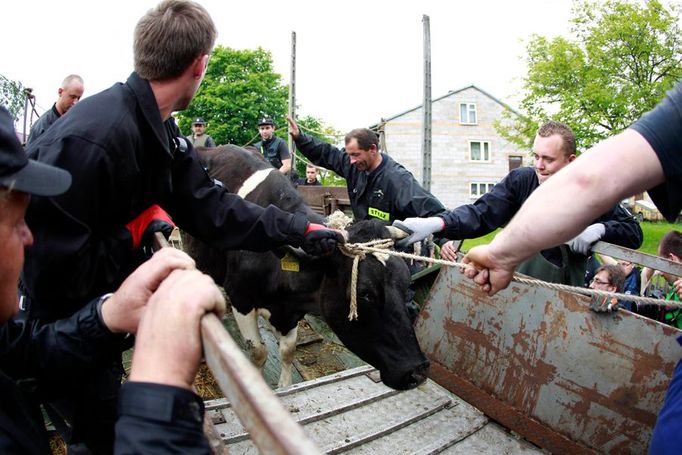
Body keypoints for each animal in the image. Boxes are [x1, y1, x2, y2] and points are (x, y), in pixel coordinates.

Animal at [183, 146, 428, 392]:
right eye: (364, 293)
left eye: (407, 284)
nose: (417, 372)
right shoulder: (241, 299)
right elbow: (258, 352)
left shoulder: (291, 312)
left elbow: (287, 350)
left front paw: (285, 386)